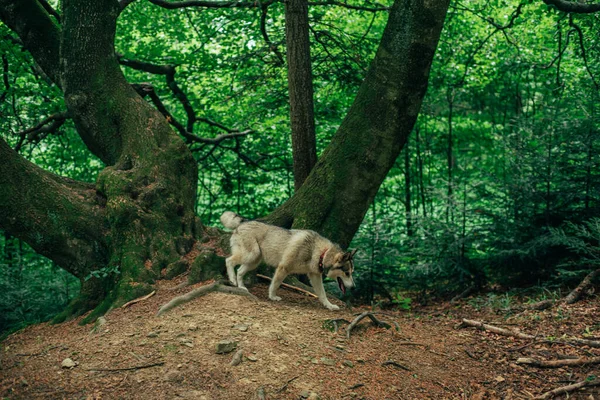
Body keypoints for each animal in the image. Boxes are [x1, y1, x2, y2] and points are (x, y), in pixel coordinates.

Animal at [221, 211, 356, 310]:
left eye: (351, 273)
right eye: (347, 273)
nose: (354, 288)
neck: (321, 253)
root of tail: (244, 221)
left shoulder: (315, 276)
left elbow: (323, 294)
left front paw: (330, 306)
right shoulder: (283, 268)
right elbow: (275, 284)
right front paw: (272, 297)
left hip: (254, 261)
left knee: (239, 271)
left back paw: (241, 287)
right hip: (251, 255)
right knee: (228, 260)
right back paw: (232, 280)